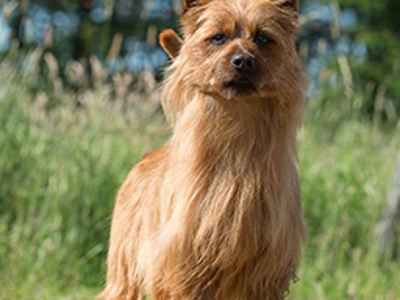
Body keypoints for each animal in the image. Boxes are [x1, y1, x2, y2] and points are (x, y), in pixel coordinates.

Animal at [98, 1, 308, 298]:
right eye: (218, 37)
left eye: (263, 38)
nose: (243, 61)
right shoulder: (184, 271)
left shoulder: (265, 277)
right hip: (125, 274)